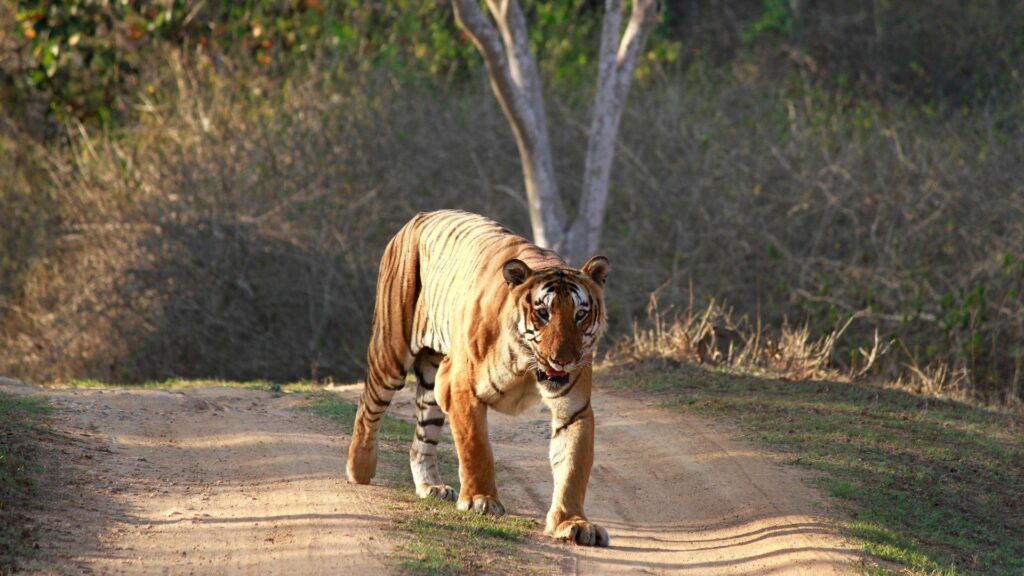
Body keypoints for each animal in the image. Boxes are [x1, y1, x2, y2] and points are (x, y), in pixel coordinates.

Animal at [348, 208, 610, 545]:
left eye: (580, 315)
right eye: (543, 313)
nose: (563, 360)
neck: (527, 365)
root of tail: (420, 215)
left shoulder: (573, 408)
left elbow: (573, 467)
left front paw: (573, 523)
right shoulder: (461, 387)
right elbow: (477, 448)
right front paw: (480, 500)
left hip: (432, 380)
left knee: (422, 438)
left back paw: (431, 486)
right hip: (391, 353)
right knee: (368, 405)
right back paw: (359, 468)